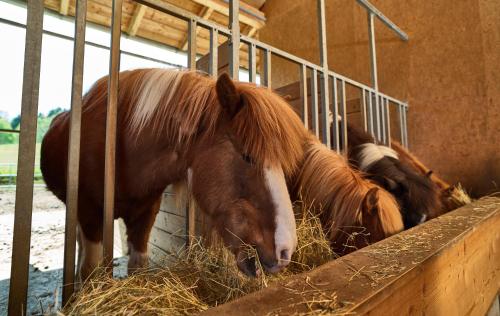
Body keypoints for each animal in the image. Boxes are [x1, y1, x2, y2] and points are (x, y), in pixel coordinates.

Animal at [41, 68, 306, 278]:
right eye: (248, 156)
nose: (285, 250)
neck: (122, 146)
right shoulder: (90, 215)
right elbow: (90, 270)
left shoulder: (144, 215)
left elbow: (138, 267)